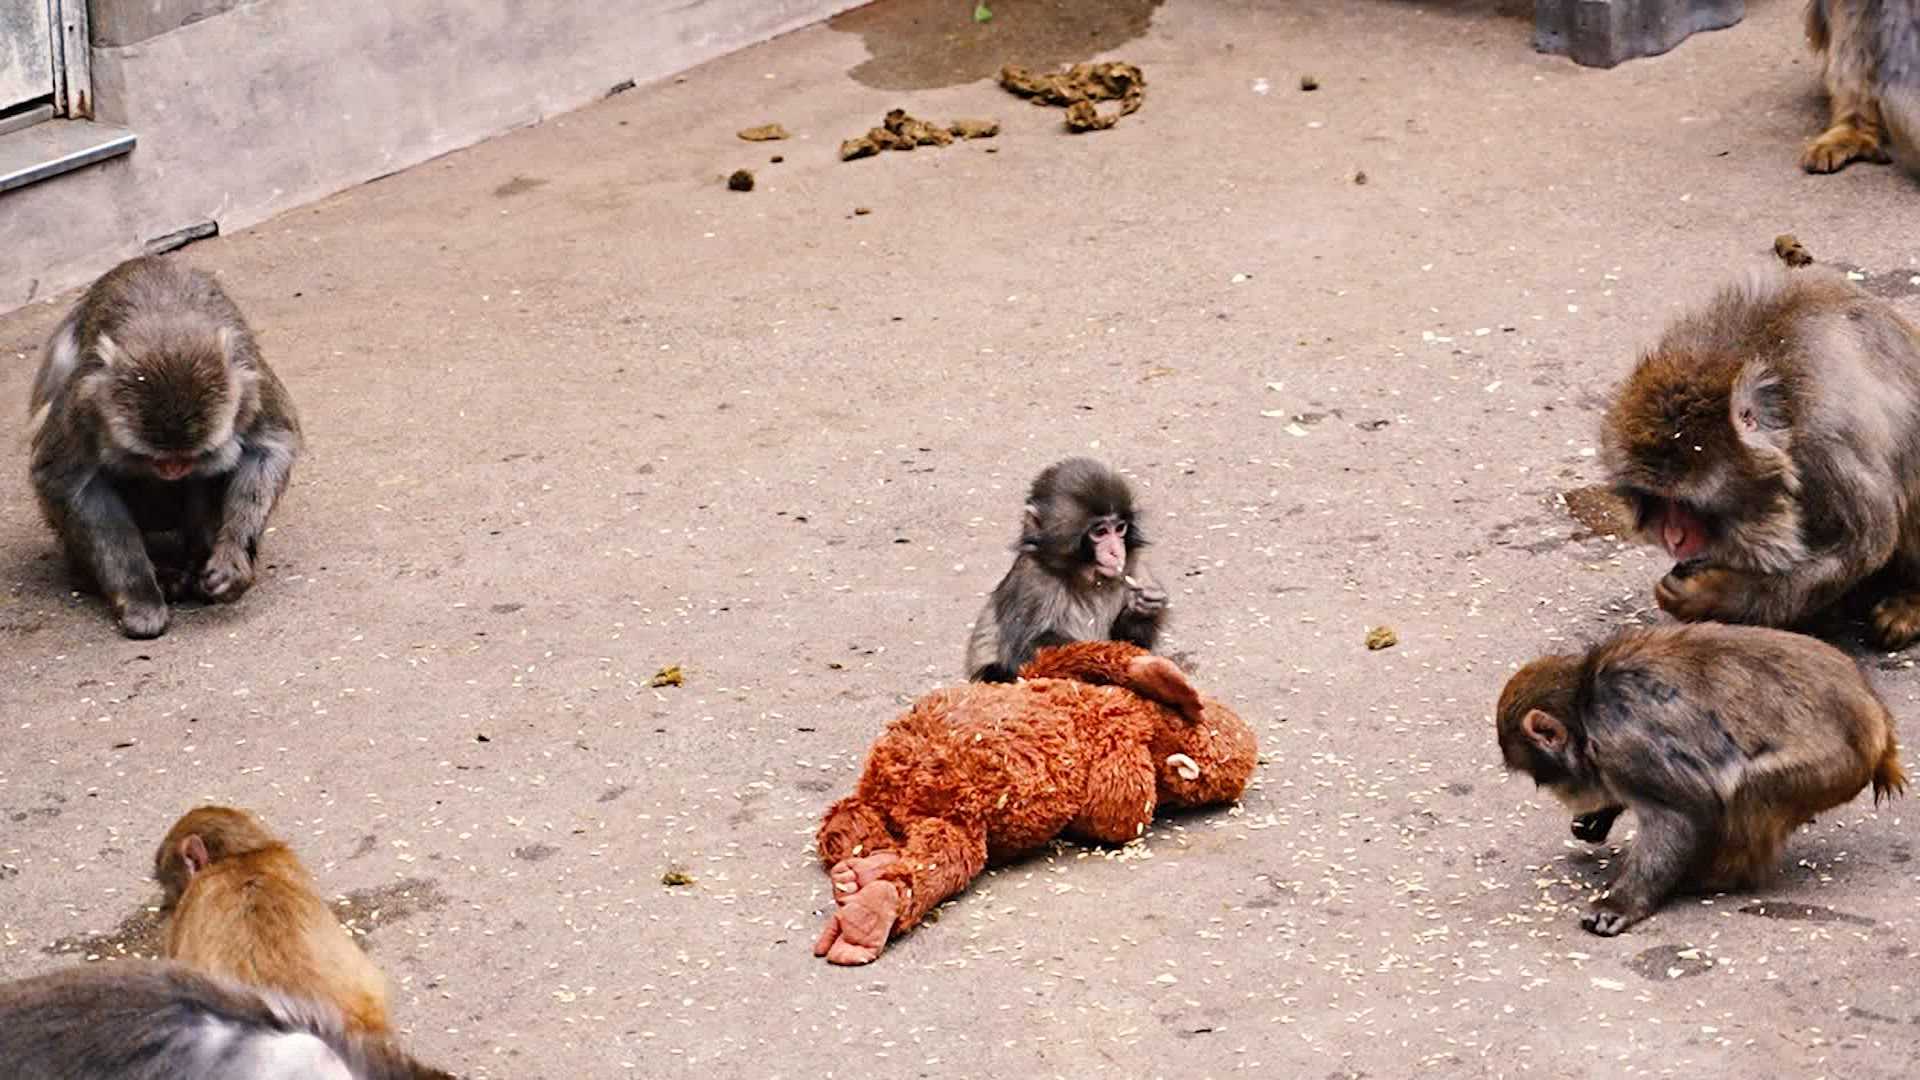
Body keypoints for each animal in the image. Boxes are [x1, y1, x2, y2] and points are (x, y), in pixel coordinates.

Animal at [27, 255, 302, 639]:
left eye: (192, 455)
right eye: (151, 457)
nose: (173, 469)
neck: (167, 333)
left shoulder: (251, 379)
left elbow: (271, 447)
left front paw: (231, 560)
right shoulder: (84, 398)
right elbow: (68, 481)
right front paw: (138, 594)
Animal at [963, 457, 1168, 682]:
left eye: (1119, 528)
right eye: (1100, 532)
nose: (1116, 552)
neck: (1087, 578)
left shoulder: (1134, 568)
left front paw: (1142, 609)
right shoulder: (1032, 580)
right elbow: (1024, 651)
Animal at [1497, 623, 1906, 937]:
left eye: (1541, 777)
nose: (1564, 795)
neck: (1585, 705)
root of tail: (1876, 718)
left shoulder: (1625, 745)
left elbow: (1680, 814)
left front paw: (1622, 902)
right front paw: (1599, 815)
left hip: (1827, 765)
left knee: (1750, 791)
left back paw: (1716, 878)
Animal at [1601, 266, 1920, 648]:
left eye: (1688, 503)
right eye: (1660, 500)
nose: (1673, 537)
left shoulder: (1828, 438)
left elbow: (1862, 543)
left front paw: (1716, 593)